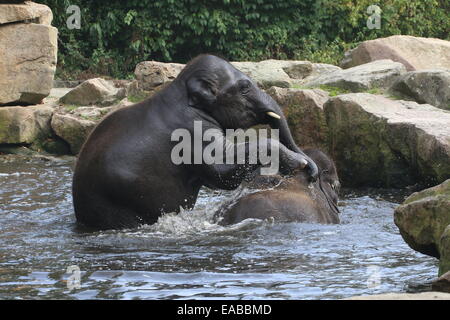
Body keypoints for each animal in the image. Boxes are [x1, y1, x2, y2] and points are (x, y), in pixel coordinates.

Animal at [73, 55, 320, 230]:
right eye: (244, 88)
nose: (313, 173)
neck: (180, 89)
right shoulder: (192, 129)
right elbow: (222, 173)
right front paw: (297, 163)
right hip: (120, 205)